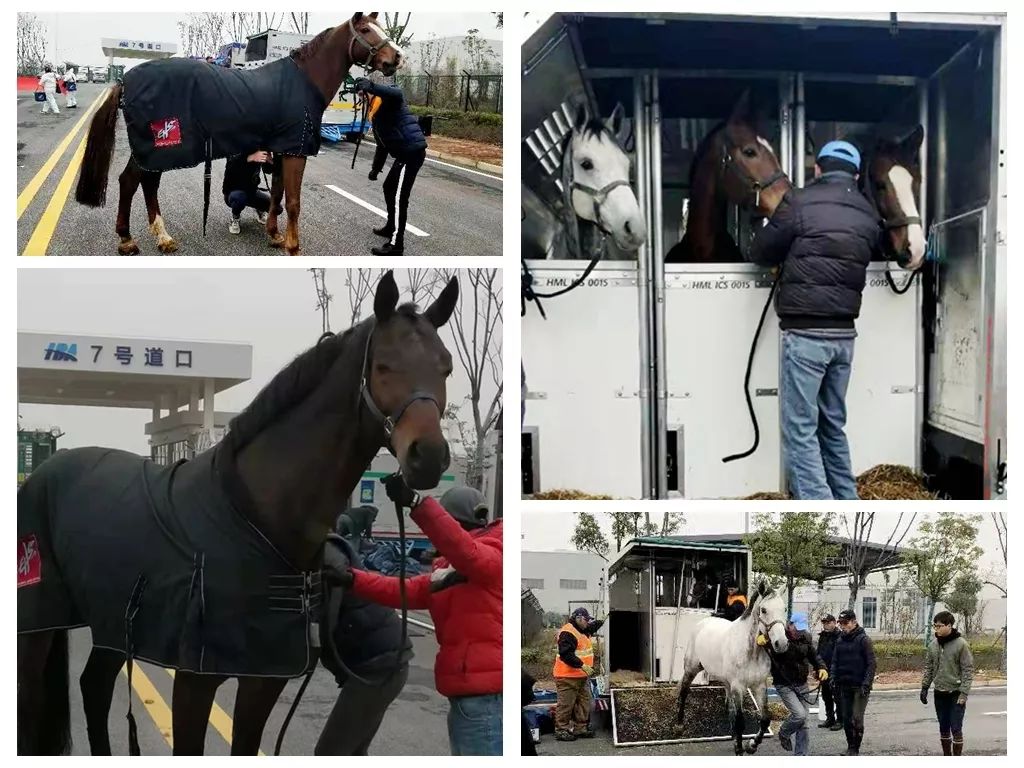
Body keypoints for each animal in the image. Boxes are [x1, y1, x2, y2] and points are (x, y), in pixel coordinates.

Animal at [18, 270, 458, 757]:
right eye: (383, 365)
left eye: (445, 367)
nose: (428, 456)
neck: (252, 518)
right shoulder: (194, 680)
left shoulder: (263, 677)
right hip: (36, 623)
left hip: (112, 621)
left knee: (94, 687)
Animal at [74, 12, 401, 257]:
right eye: (365, 30)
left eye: (381, 29)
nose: (396, 58)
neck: (303, 81)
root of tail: (126, 80)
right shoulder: (296, 151)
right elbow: (294, 202)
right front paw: (293, 247)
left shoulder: (280, 149)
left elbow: (277, 195)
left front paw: (274, 235)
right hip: (159, 148)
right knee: (132, 183)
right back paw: (129, 240)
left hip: (155, 152)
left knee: (143, 184)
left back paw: (160, 238)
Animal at [675, 581, 786, 757]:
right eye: (763, 610)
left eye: (784, 609)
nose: (781, 644)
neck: (750, 651)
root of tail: (702, 623)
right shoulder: (738, 686)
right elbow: (740, 720)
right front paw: (740, 749)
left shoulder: (759, 686)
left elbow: (764, 719)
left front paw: (751, 745)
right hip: (691, 668)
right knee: (684, 690)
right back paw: (679, 725)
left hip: (726, 680)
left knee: (729, 705)